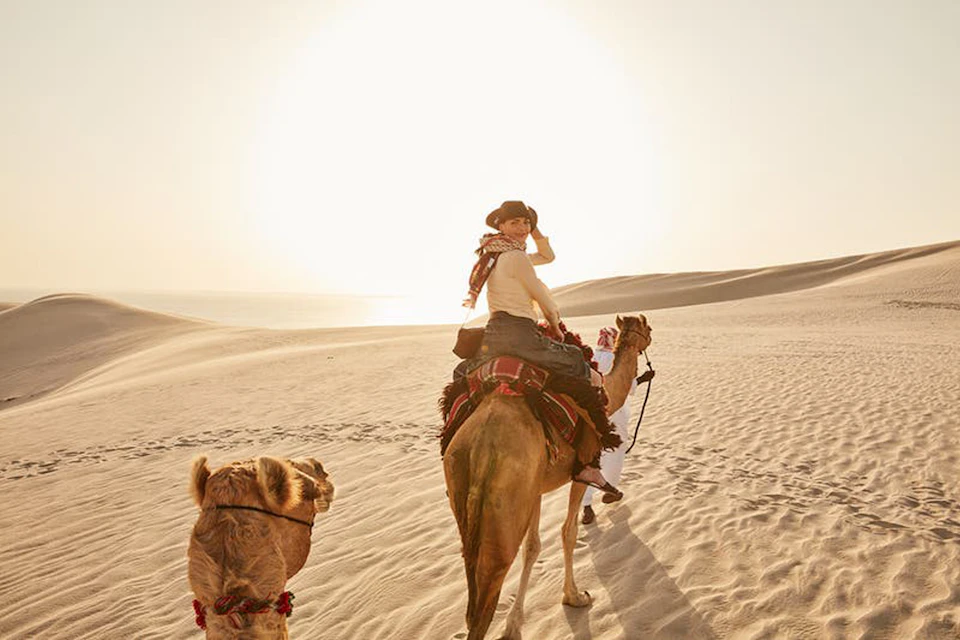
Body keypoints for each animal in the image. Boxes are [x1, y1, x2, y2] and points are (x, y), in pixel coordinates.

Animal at [443, 314, 652, 640]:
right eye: (648, 329)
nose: (650, 339)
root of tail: (481, 444)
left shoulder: (537, 488)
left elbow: (533, 547)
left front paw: (514, 625)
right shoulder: (578, 475)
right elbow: (568, 532)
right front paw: (574, 597)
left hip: (463, 489)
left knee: (472, 583)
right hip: (507, 508)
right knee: (486, 596)